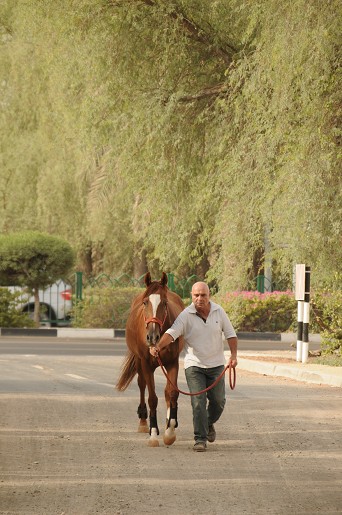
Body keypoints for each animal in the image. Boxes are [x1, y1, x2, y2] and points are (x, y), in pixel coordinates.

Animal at [115, 272, 186, 446]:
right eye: (145, 302)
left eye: (165, 302)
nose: (152, 337)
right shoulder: (146, 364)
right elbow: (152, 398)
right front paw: (153, 433)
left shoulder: (172, 362)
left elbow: (172, 393)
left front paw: (170, 430)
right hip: (139, 362)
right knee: (142, 385)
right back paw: (143, 422)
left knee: (167, 391)